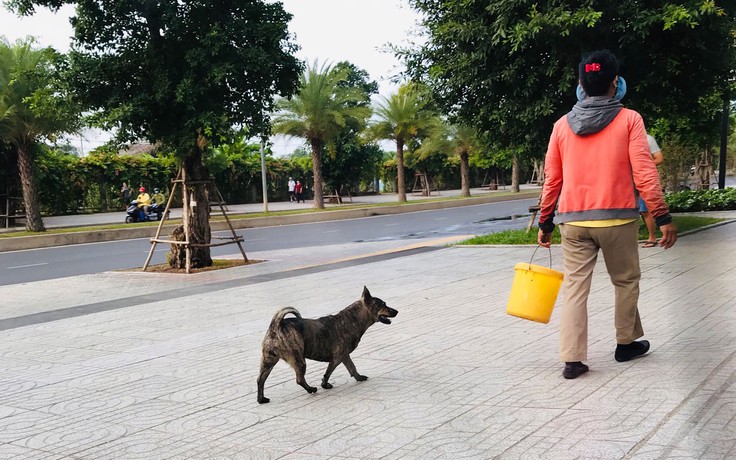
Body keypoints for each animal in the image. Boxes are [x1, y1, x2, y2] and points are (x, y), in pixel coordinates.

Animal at [258, 286, 396, 404]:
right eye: (383, 304)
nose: (397, 311)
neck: (352, 320)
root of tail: (276, 325)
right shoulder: (337, 357)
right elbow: (328, 372)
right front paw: (324, 385)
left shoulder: (345, 356)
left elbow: (352, 367)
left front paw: (359, 377)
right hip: (299, 360)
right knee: (299, 379)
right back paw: (311, 389)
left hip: (268, 361)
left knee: (260, 380)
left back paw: (261, 399)